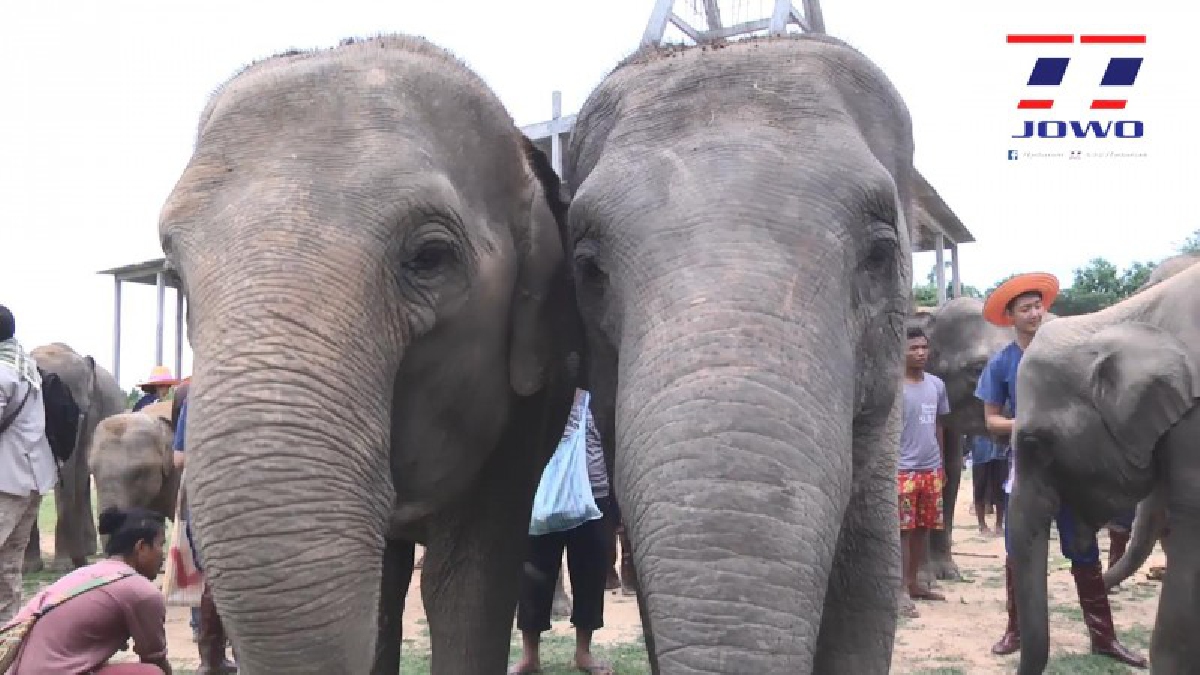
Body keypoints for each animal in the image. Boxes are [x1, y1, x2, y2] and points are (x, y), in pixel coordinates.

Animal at [22, 342, 126, 573]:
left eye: (79, 413)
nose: (81, 564)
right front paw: (30, 568)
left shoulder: (90, 417)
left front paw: (62, 566)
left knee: (81, 482)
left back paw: (86, 550)